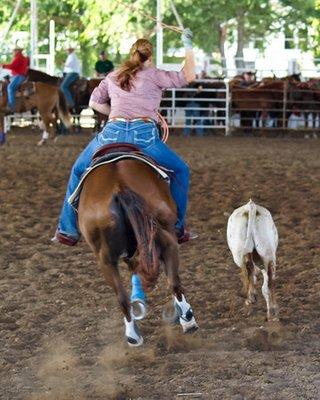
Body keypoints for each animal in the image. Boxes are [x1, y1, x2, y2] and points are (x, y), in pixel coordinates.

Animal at [77, 158, 198, 346]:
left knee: (122, 297)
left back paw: (133, 335)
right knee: (174, 283)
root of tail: (119, 187)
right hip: (167, 239)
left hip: (105, 258)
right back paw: (188, 320)